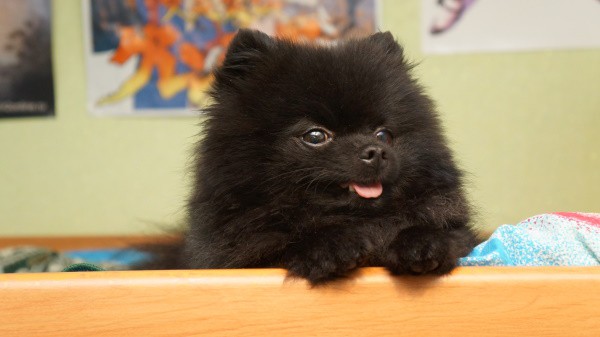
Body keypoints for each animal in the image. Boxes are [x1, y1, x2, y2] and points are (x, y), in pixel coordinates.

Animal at [143, 28, 476, 284]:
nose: (376, 151)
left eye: (384, 135)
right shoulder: (236, 258)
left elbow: (445, 234)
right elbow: (287, 243)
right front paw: (330, 245)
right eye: (315, 136)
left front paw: (424, 243)